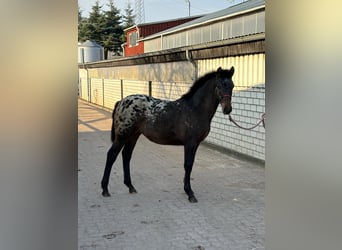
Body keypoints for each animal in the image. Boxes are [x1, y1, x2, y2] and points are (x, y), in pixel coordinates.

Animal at [101, 67, 235, 203]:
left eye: (232, 86)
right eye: (219, 85)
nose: (227, 109)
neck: (194, 109)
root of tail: (121, 102)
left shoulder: (196, 144)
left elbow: (190, 165)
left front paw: (188, 190)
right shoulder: (190, 143)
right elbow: (188, 165)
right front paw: (190, 193)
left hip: (134, 135)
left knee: (126, 155)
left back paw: (130, 186)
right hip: (122, 136)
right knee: (111, 155)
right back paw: (105, 189)